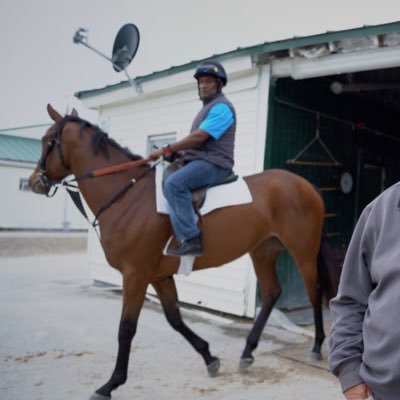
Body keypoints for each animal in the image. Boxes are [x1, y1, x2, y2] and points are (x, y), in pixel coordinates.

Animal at [29, 104, 340, 398]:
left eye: (46, 141)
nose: (34, 182)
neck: (128, 197)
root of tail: (306, 185)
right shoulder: (159, 276)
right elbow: (175, 319)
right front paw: (209, 357)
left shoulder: (135, 275)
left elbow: (126, 329)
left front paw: (110, 384)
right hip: (262, 251)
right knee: (273, 292)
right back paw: (247, 352)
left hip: (302, 248)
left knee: (315, 291)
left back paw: (316, 346)